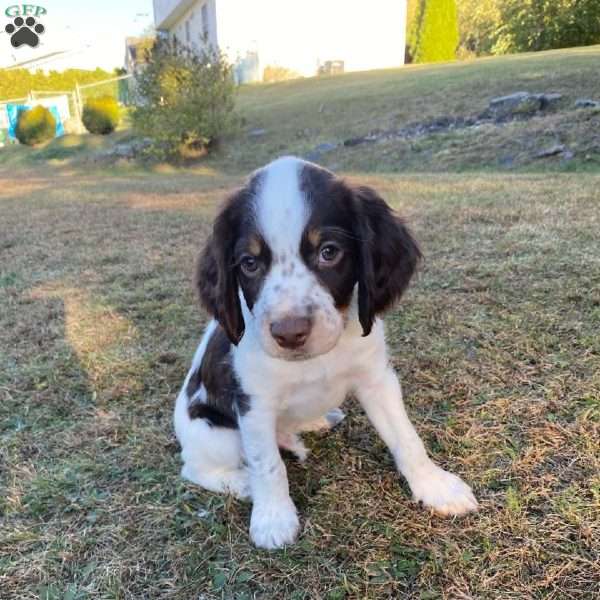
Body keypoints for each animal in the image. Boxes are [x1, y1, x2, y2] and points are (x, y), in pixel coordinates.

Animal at [175, 156, 478, 548]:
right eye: (249, 263)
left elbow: (407, 438)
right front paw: (273, 518)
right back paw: (242, 484)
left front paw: (435, 486)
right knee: (195, 466)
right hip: (215, 435)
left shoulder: (376, 379)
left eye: (329, 252)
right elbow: (268, 465)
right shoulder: (254, 404)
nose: (289, 333)